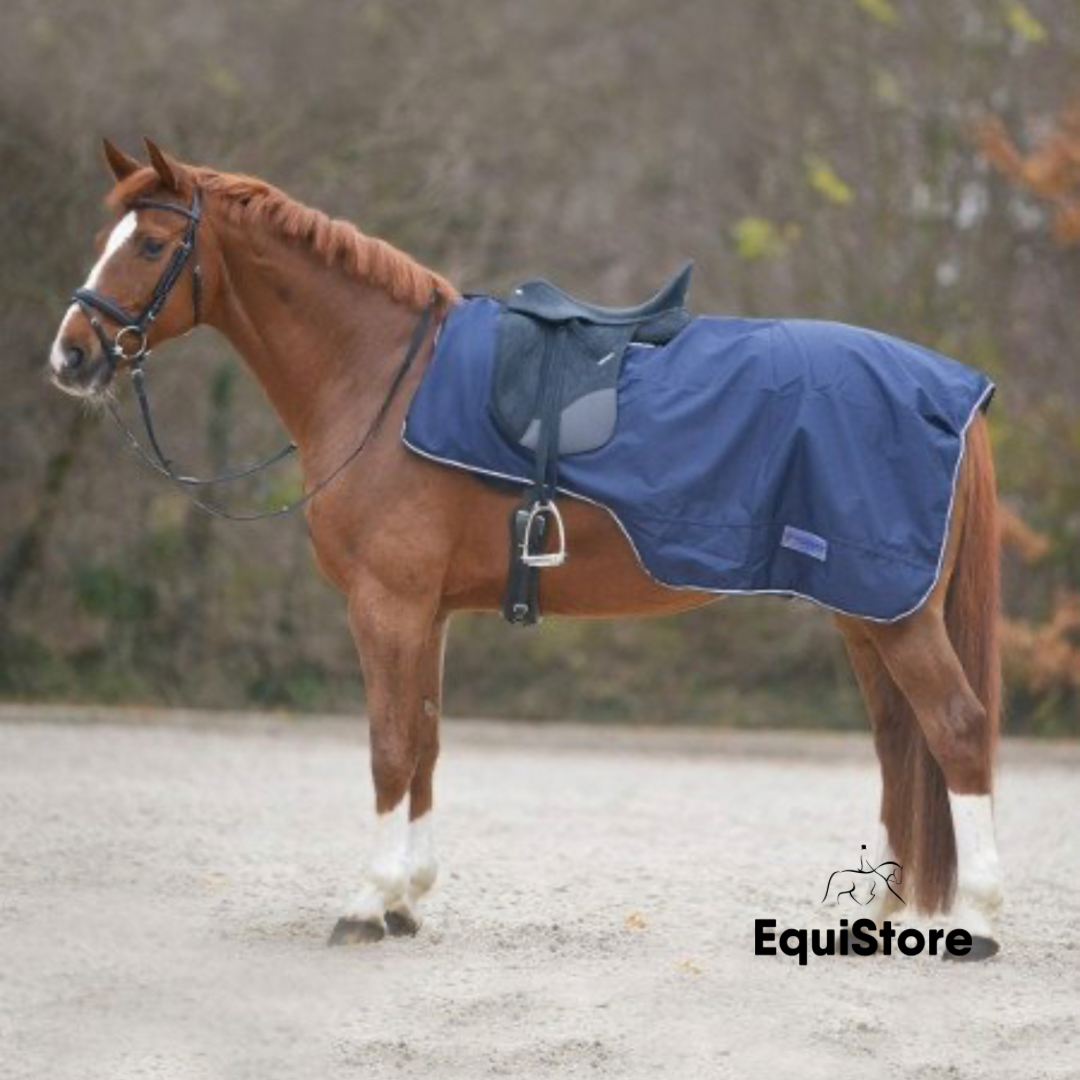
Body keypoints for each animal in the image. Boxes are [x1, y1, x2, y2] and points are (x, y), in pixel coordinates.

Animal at [47, 138, 1004, 959]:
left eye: (153, 244)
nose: (70, 355)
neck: (382, 379)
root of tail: (952, 391)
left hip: (895, 615)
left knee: (956, 730)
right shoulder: (426, 612)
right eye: (103, 241)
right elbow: (425, 741)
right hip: (863, 612)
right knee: (898, 741)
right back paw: (883, 913)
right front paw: (406, 901)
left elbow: (389, 745)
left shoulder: (386, 604)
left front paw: (364, 903)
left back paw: (984, 919)